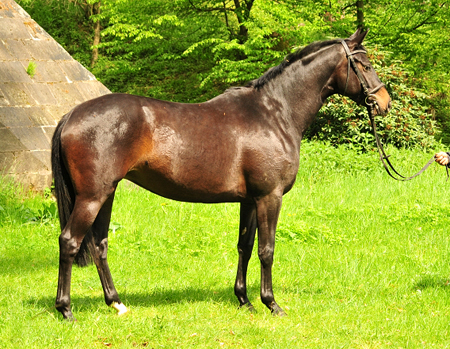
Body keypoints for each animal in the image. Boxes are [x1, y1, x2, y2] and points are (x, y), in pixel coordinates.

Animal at [51, 28, 390, 320]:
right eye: (365, 64)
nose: (384, 102)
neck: (274, 113)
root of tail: (71, 115)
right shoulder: (270, 197)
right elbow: (267, 250)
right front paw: (272, 304)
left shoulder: (250, 200)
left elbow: (245, 247)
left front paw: (244, 300)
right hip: (92, 197)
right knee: (69, 241)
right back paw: (66, 309)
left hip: (106, 194)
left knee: (99, 244)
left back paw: (116, 303)